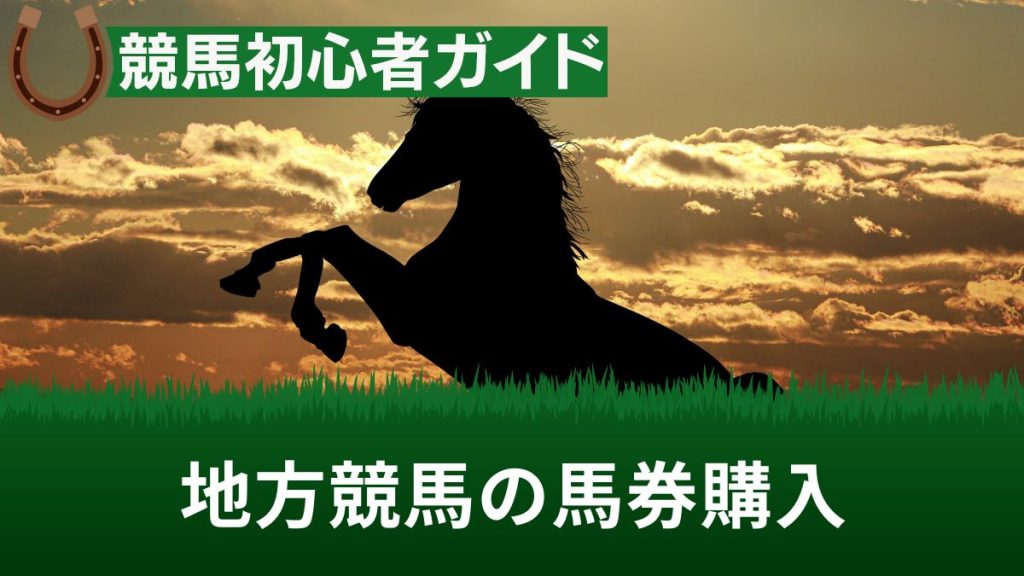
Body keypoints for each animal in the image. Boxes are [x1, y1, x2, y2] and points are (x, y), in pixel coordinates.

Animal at [220, 98, 780, 393]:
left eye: (436, 131)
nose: (380, 189)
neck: (501, 260)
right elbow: (315, 238)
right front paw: (248, 279)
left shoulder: (409, 314)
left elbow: (329, 237)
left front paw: (319, 328)